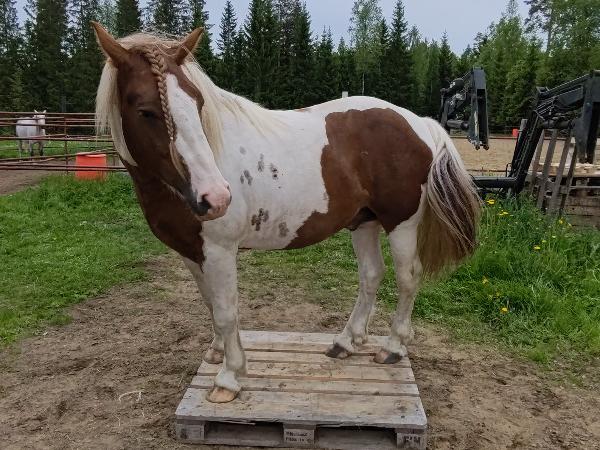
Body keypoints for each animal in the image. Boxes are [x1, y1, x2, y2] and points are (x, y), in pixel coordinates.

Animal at [92, 23, 480, 404]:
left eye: (198, 101)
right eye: (145, 111)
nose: (215, 197)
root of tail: (420, 122)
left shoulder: (219, 250)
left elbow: (227, 311)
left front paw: (230, 376)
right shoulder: (191, 252)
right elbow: (210, 305)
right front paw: (217, 352)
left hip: (401, 223)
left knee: (407, 277)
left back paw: (394, 347)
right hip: (364, 222)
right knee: (371, 275)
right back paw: (346, 341)